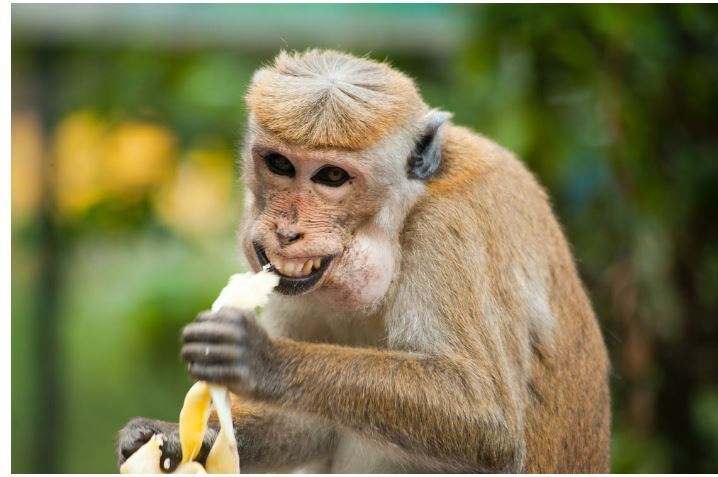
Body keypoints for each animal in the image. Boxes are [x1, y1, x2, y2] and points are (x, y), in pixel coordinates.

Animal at [118, 49, 611, 473]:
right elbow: (307, 424)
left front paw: (261, 358)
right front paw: (169, 436)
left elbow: (488, 419)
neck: (404, 212)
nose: (286, 232)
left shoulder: (448, 232)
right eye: (280, 164)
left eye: (332, 176)